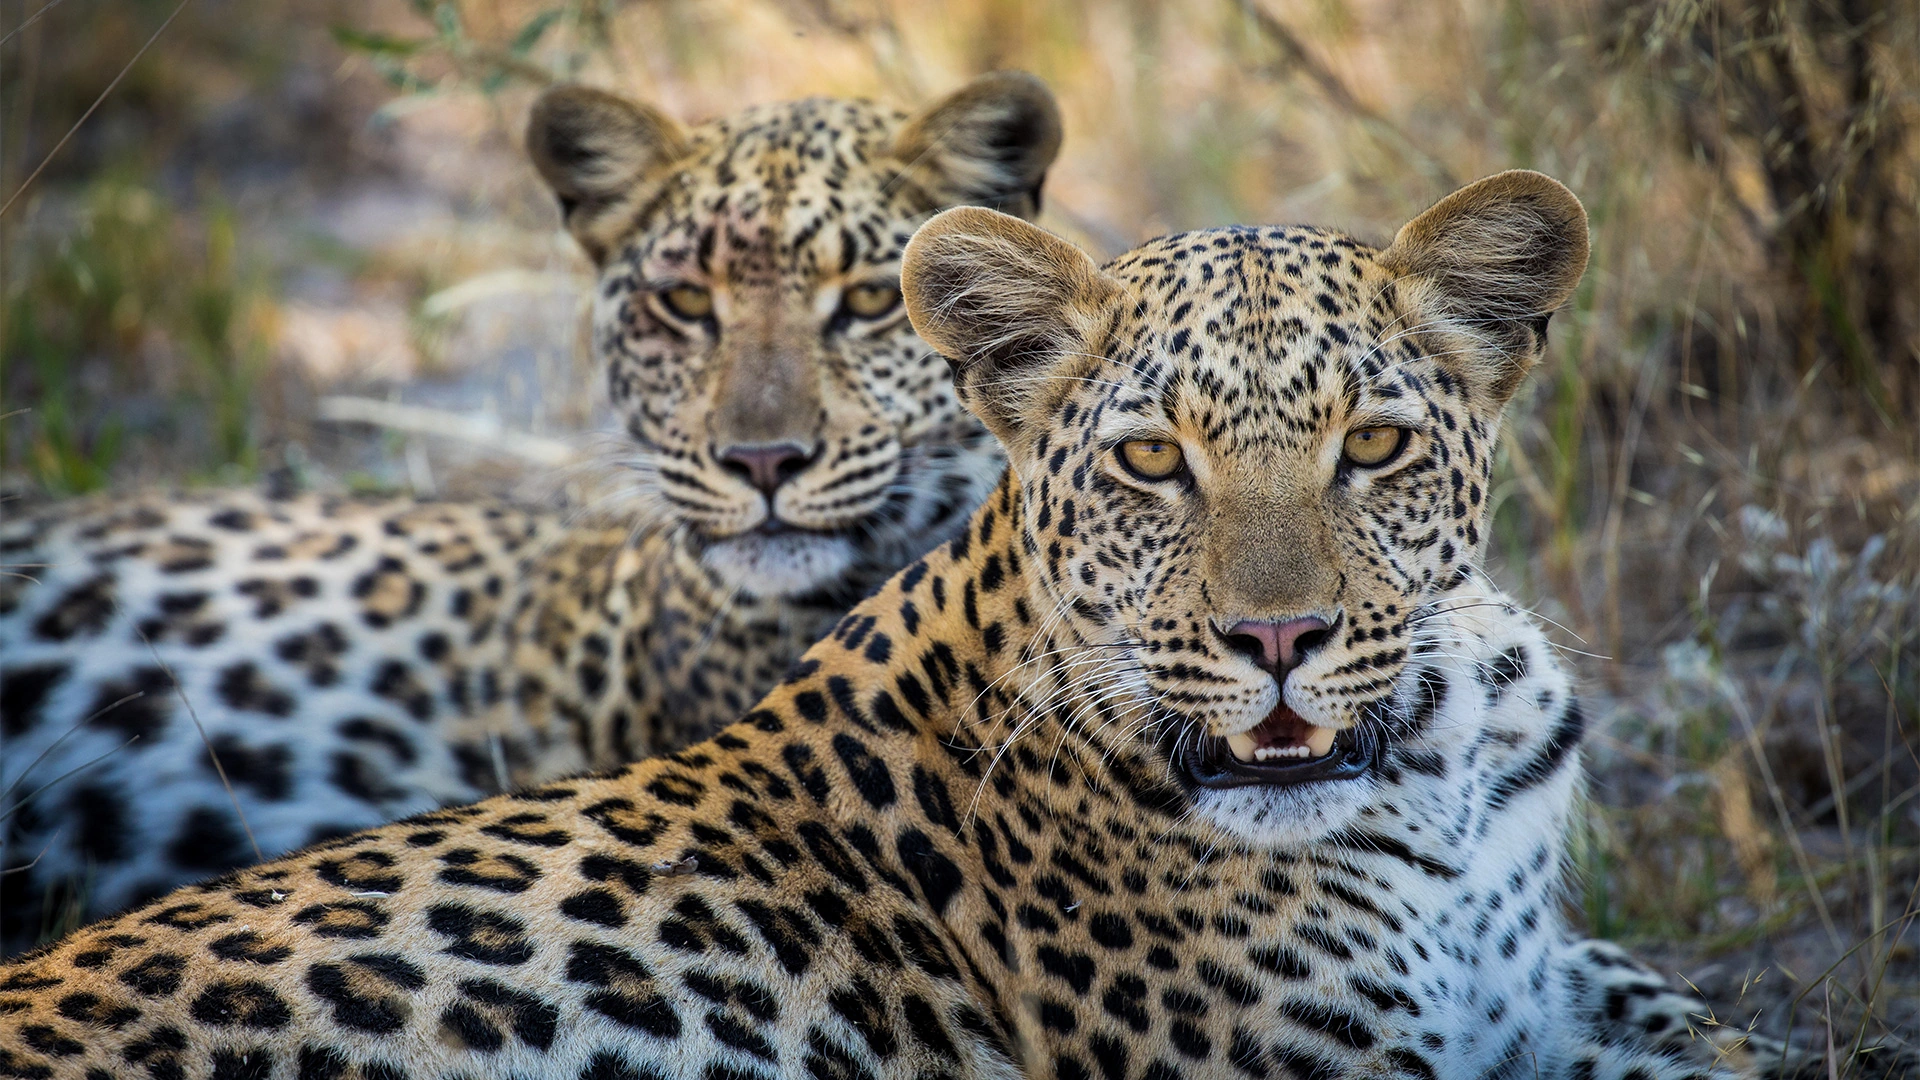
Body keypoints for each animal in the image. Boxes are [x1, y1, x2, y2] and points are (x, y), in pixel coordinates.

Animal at [3, 170, 1871, 1079]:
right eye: (1150, 459)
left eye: (1375, 448)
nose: (1277, 644)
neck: (1444, 767)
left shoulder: (1551, 980)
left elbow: (1733, 1041)